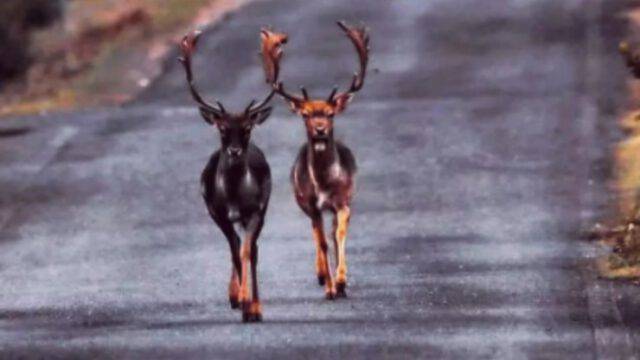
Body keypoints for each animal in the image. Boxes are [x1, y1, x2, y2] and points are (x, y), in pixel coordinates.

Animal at [179, 31, 274, 322]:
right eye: (221, 128)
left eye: (247, 128)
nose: (233, 151)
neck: (233, 196)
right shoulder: (217, 212)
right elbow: (234, 250)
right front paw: (241, 299)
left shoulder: (256, 210)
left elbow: (247, 251)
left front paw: (251, 305)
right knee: (235, 245)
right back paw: (234, 296)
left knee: (251, 249)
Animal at [260, 21, 370, 298]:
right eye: (306, 114)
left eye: (330, 114)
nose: (320, 129)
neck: (324, 184)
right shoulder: (312, 204)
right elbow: (321, 242)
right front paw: (330, 287)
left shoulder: (344, 200)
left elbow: (338, 235)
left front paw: (341, 281)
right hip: (303, 203)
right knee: (315, 234)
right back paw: (321, 275)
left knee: (330, 233)